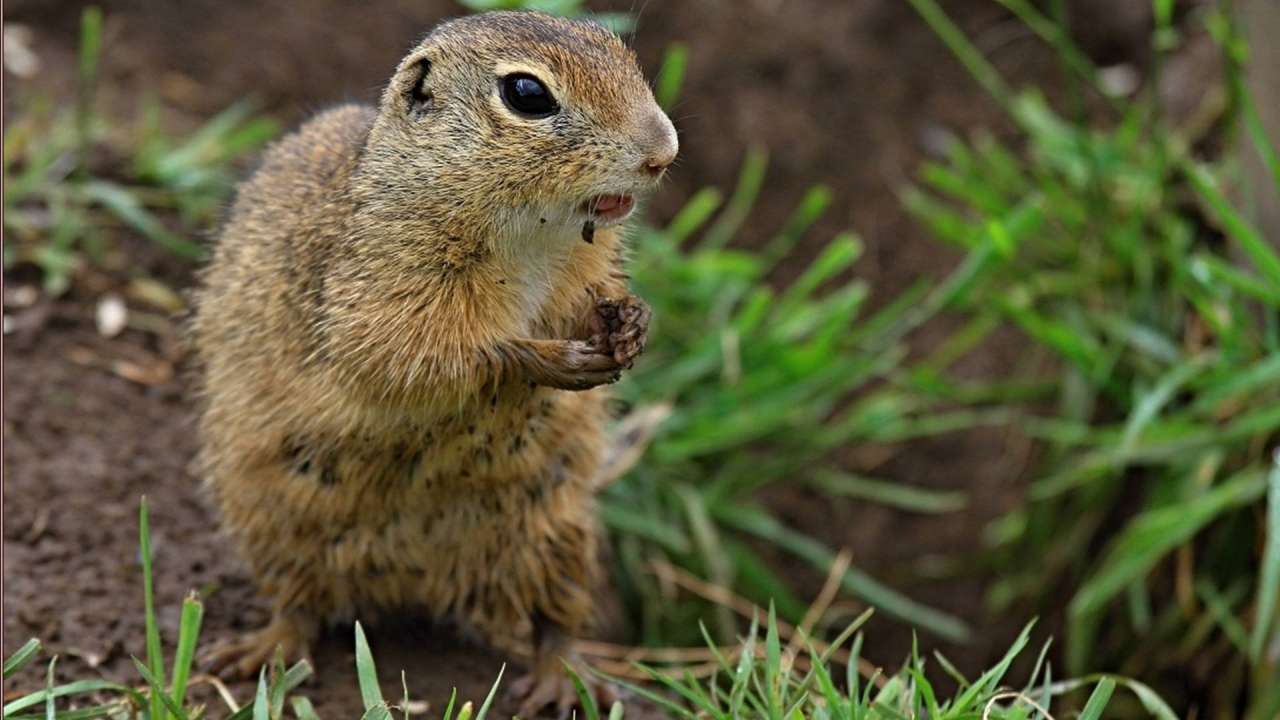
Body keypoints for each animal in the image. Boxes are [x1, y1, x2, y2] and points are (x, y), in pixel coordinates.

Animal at [194, 11, 675, 712]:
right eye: (528, 94)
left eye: (621, 51)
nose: (663, 152)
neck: (531, 235)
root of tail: (415, 584)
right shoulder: (379, 292)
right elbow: (413, 356)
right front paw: (543, 356)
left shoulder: (586, 270)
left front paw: (632, 323)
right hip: (275, 519)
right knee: (297, 606)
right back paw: (264, 651)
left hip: (557, 534)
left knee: (554, 623)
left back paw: (562, 679)